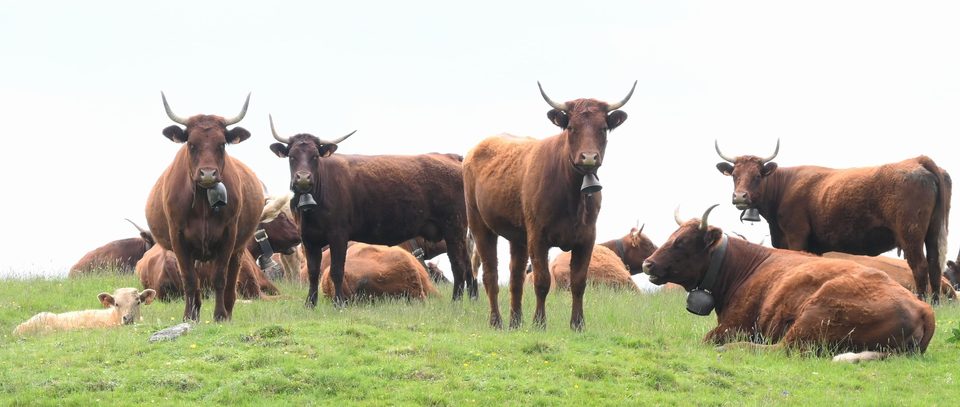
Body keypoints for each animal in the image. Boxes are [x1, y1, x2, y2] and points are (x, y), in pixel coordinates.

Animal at [145, 93, 264, 321]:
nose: (208, 173)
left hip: (238, 249)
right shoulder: (178, 238)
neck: (202, 204)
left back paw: (228, 310)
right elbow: (190, 280)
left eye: (222, 144)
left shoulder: (228, 236)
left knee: (231, 280)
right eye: (191, 144)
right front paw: (189, 316)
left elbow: (220, 277)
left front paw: (220, 315)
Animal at [268, 116, 475, 306]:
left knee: (459, 265)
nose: (303, 178)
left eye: (315, 156)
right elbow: (312, 272)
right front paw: (310, 304)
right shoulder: (309, 239)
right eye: (292, 155)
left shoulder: (338, 236)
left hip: (454, 228)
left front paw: (338, 304)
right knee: (467, 264)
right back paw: (472, 298)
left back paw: (456, 302)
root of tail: (451, 158)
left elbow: (336, 270)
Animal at [463, 81, 636, 330]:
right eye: (571, 127)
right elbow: (542, 281)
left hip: (518, 237)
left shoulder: (586, 238)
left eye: (603, 128)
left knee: (515, 277)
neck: (573, 197)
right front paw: (539, 323)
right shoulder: (538, 237)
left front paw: (577, 324)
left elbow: (579, 282)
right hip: (480, 226)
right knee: (490, 275)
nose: (589, 157)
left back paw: (516, 322)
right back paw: (497, 322)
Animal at [641, 205, 935, 362]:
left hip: (813, 318)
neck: (742, 267)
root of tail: (923, 309)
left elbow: (706, 339)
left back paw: (731, 349)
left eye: (681, 242)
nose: (647, 264)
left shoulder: (734, 325)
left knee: (781, 349)